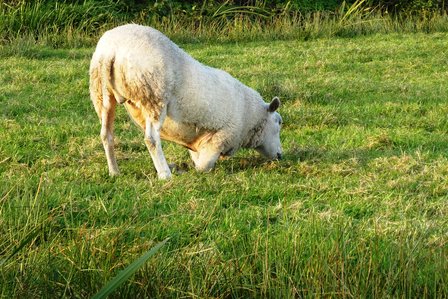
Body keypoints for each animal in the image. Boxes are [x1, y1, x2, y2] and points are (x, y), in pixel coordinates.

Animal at [89, 24, 282, 179]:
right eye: (278, 123)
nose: (280, 155)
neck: (250, 117)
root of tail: (111, 51)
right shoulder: (220, 137)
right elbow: (203, 167)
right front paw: (183, 170)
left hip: (101, 93)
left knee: (106, 135)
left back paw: (114, 172)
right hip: (154, 94)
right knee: (151, 139)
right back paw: (165, 173)